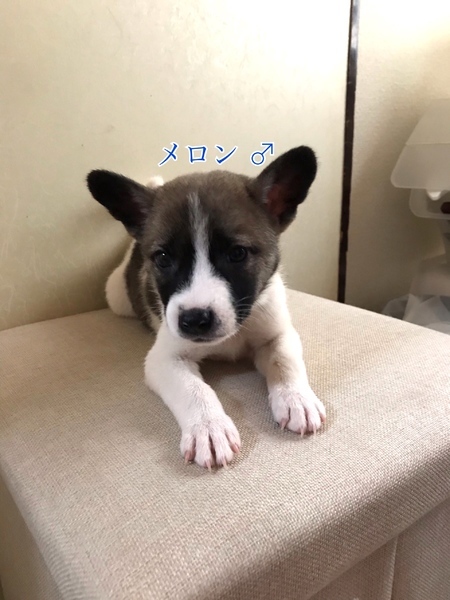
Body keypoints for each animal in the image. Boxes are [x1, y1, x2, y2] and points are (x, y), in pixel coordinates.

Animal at [86, 146, 326, 469]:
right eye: (163, 258)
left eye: (237, 254)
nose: (194, 319)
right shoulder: (164, 359)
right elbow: (195, 389)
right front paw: (209, 427)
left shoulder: (278, 333)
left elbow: (285, 361)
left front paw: (296, 398)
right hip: (117, 297)